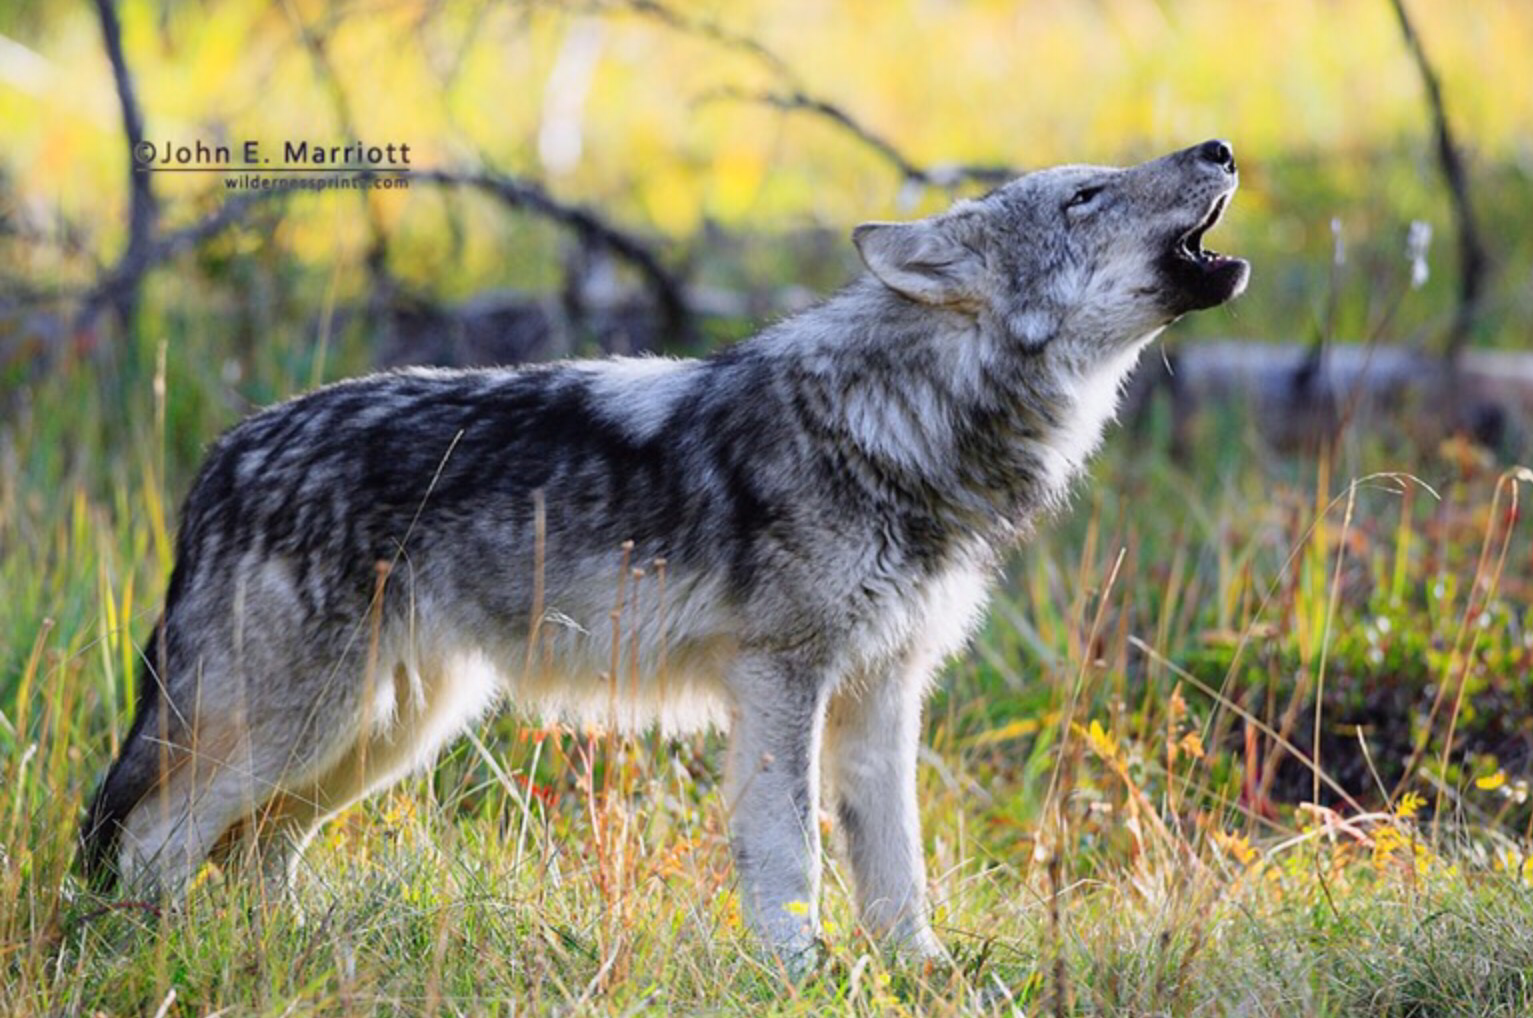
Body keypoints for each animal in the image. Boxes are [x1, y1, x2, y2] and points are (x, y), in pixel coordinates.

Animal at [77, 139, 1244, 956]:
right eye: (1084, 196)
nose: (1222, 147)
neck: (898, 422)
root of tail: (223, 457)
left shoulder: (883, 693)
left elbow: (897, 870)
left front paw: (920, 976)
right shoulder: (782, 680)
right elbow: (789, 856)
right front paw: (800, 975)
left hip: (384, 734)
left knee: (255, 852)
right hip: (305, 729)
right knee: (156, 842)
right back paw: (156, 963)